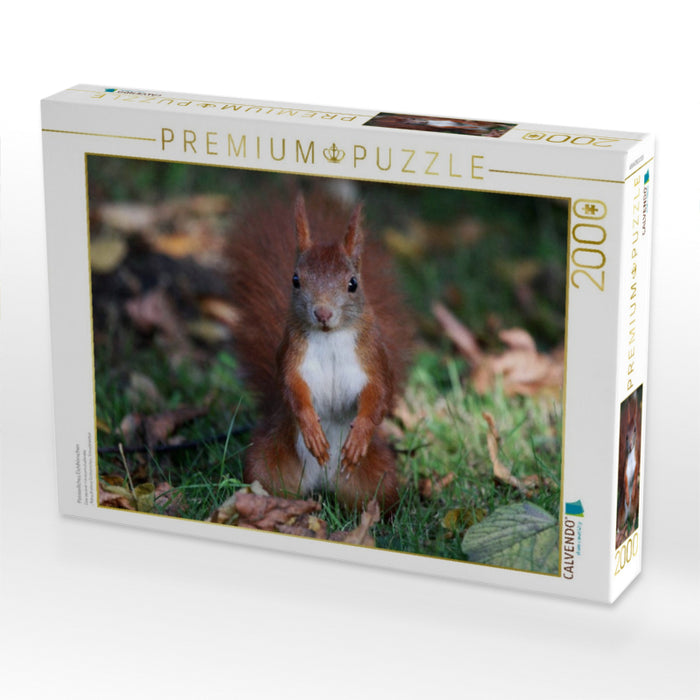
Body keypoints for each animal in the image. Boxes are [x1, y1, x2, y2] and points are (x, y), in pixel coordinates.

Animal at [228, 188, 412, 512]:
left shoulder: (372, 357)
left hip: (377, 476)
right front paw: (312, 430)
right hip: (267, 463)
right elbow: (293, 390)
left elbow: (378, 393)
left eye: (353, 283)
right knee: (266, 482)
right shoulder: (292, 356)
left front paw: (359, 434)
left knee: (379, 494)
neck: (330, 338)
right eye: (295, 280)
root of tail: (321, 482)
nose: (323, 313)